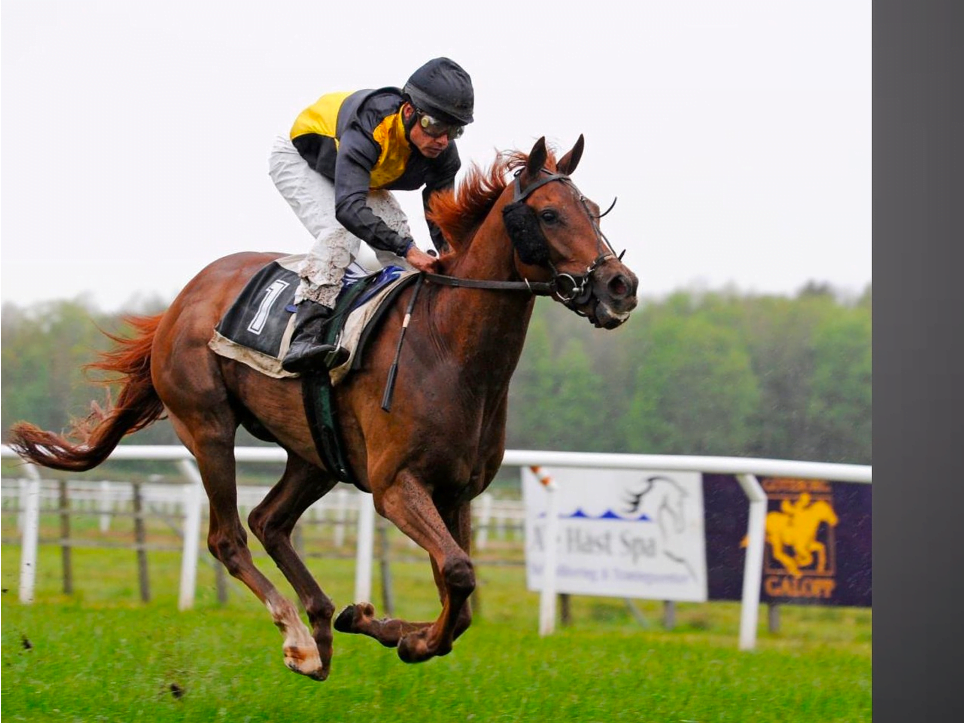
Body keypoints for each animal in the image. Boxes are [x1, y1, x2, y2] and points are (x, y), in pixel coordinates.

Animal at [8, 135, 639, 681]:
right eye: (551, 214)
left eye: (594, 211)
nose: (620, 286)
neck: (449, 347)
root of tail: (182, 301)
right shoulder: (395, 486)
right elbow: (458, 574)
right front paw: (403, 636)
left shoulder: (457, 491)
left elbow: (457, 598)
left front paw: (381, 624)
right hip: (206, 426)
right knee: (228, 537)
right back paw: (299, 640)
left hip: (314, 452)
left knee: (270, 521)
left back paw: (323, 624)